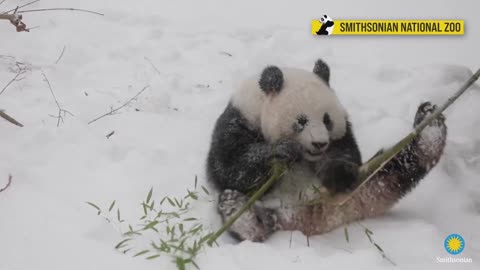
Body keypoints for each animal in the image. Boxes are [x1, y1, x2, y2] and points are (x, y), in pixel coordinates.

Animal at [205, 59, 446, 243]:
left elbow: (345, 154)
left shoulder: (341, 136)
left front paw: (338, 174)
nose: (319, 143)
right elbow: (231, 169)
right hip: (276, 209)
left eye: (327, 120)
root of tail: (316, 218)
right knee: (255, 220)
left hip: (364, 185)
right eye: (301, 121)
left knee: (396, 167)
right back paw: (240, 213)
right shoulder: (238, 120)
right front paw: (281, 151)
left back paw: (429, 127)